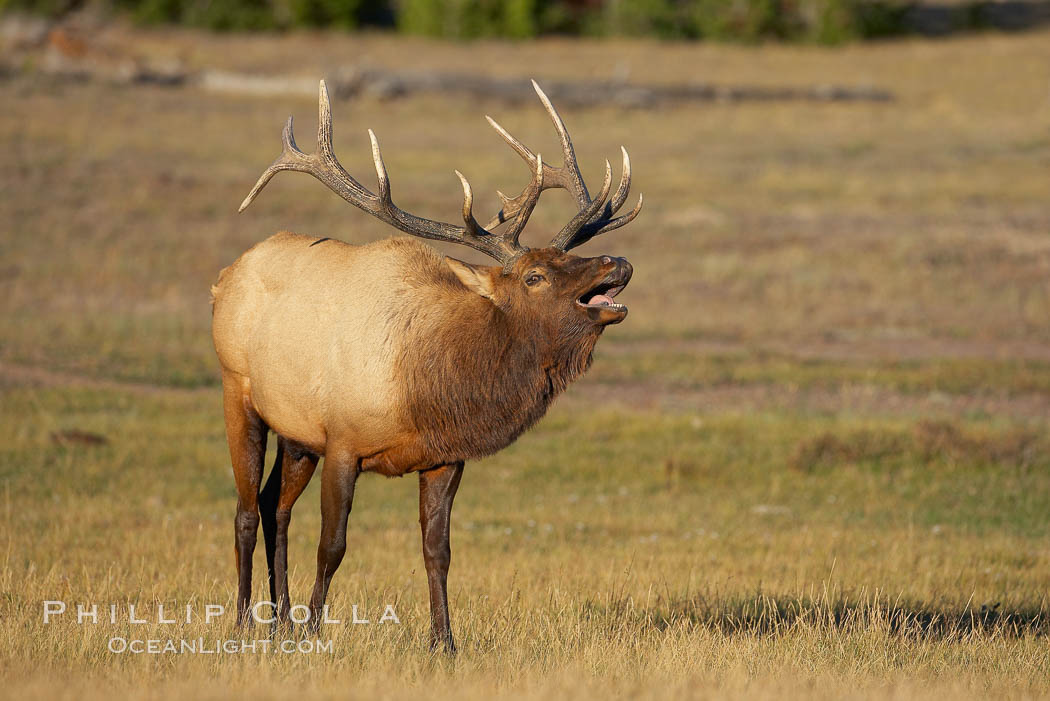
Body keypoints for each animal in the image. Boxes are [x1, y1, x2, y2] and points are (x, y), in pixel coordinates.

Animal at [211, 78, 638, 650]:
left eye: (570, 258)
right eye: (534, 276)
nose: (619, 261)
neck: (429, 386)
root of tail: (223, 279)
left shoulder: (444, 456)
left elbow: (439, 550)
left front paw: (444, 642)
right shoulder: (343, 441)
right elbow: (333, 545)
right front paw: (316, 632)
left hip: (297, 433)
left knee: (274, 505)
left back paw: (281, 621)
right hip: (238, 392)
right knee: (245, 510)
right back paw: (244, 622)